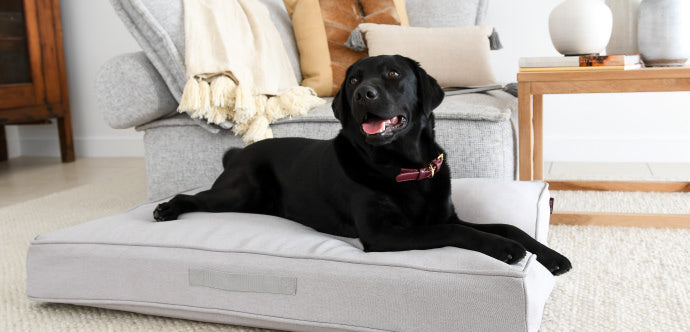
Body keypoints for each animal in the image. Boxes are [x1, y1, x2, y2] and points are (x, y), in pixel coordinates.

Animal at [155, 55, 568, 276]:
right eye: (354, 79)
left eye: (393, 74)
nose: (362, 94)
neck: (406, 168)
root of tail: (238, 153)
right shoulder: (383, 234)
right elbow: (461, 233)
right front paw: (506, 250)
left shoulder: (446, 214)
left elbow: (509, 226)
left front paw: (552, 257)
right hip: (241, 192)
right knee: (193, 197)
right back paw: (165, 210)